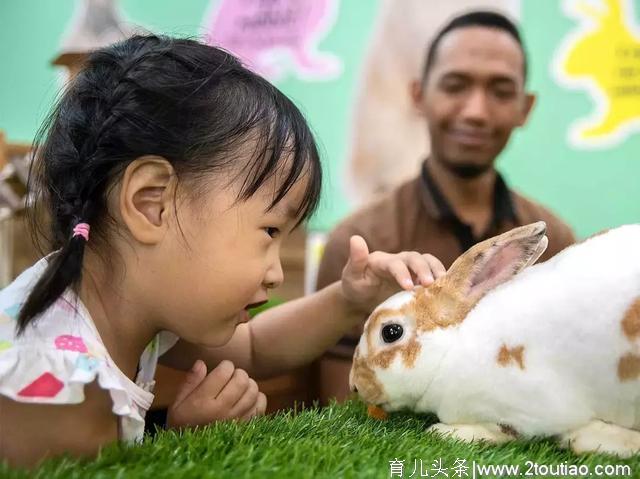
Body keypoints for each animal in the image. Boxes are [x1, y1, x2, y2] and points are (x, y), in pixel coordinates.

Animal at [348, 221, 640, 458]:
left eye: (391, 332)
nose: (354, 386)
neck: (451, 351)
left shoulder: (528, 409)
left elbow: (501, 431)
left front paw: (445, 431)